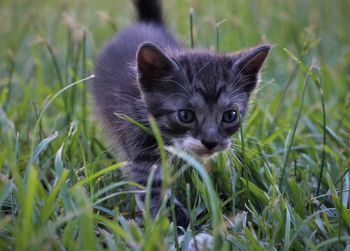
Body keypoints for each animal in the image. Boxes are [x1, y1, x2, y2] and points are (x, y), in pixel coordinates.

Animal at [91, 0, 270, 227]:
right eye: (186, 116)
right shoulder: (136, 136)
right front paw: (176, 221)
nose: (210, 142)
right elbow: (152, 187)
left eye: (230, 116)